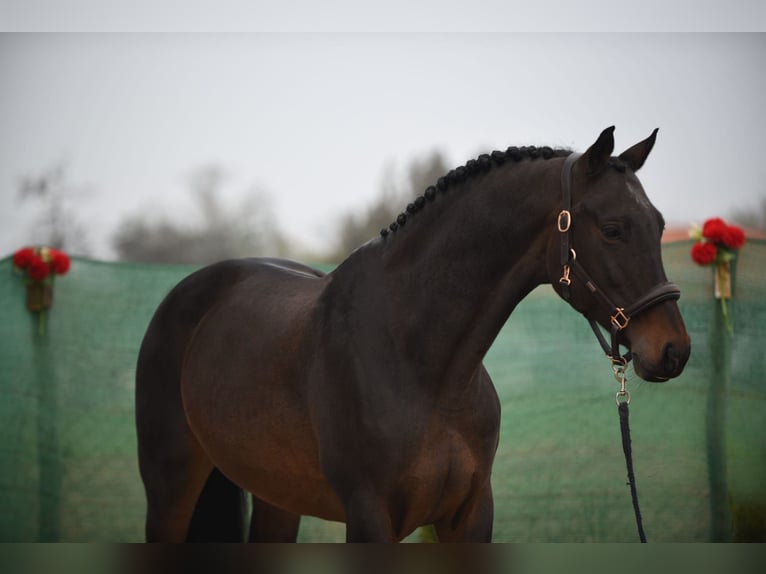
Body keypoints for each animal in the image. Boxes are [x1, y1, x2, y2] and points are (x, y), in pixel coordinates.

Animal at [135, 127, 692, 544]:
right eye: (613, 229)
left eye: (660, 223)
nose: (674, 351)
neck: (421, 366)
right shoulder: (368, 516)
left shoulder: (470, 515)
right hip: (169, 487)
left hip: (278, 498)